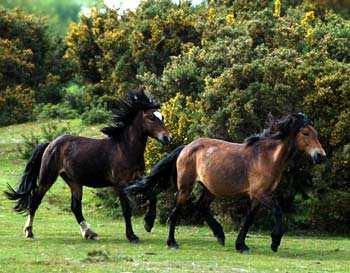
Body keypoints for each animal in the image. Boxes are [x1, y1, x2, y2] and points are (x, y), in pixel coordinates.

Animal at [5, 88, 170, 240]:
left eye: (162, 117)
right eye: (150, 117)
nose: (167, 138)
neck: (124, 149)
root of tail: (50, 144)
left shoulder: (137, 179)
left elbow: (152, 196)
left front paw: (148, 223)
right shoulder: (120, 184)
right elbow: (126, 209)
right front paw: (132, 236)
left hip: (74, 182)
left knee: (75, 207)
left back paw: (89, 233)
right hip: (47, 178)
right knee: (35, 201)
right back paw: (29, 232)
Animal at [125, 112, 326, 251]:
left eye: (316, 133)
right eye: (305, 133)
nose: (321, 156)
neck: (266, 157)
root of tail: (187, 147)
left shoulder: (257, 197)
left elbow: (248, 219)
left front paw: (241, 246)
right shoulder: (261, 194)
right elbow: (278, 212)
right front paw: (275, 242)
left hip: (209, 189)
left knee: (201, 207)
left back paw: (220, 235)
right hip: (185, 188)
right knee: (175, 212)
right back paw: (172, 242)